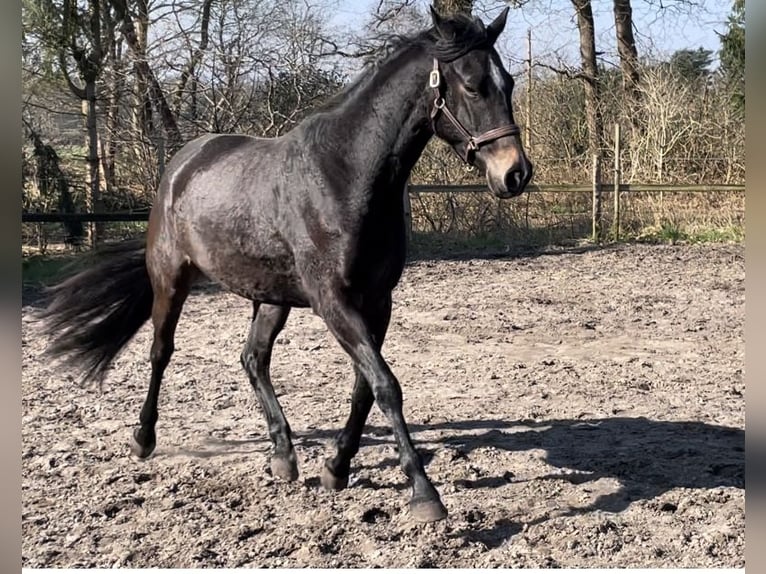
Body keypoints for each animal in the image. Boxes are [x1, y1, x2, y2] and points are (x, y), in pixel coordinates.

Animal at [39, 5, 536, 528]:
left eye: (508, 82)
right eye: (472, 85)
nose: (515, 173)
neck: (346, 175)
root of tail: (182, 164)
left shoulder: (378, 302)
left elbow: (365, 387)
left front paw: (336, 468)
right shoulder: (333, 301)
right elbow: (386, 385)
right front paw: (424, 494)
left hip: (270, 297)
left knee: (253, 358)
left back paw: (283, 455)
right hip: (171, 279)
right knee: (161, 352)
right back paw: (143, 439)